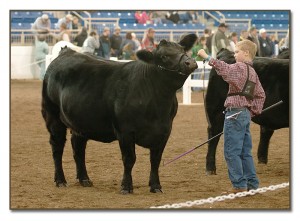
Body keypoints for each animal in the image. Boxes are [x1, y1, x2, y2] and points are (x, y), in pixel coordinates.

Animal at [41, 33, 198, 193]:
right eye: (164, 56)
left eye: (183, 49)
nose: (190, 62)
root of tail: (67, 52)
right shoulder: (125, 131)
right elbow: (129, 159)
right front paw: (126, 186)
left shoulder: (164, 131)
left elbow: (155, 160)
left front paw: (156, 186)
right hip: (52, 117)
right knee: (57, 147)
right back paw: (60, 180)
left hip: (80, 122)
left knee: (78, 148)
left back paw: (84, 179)